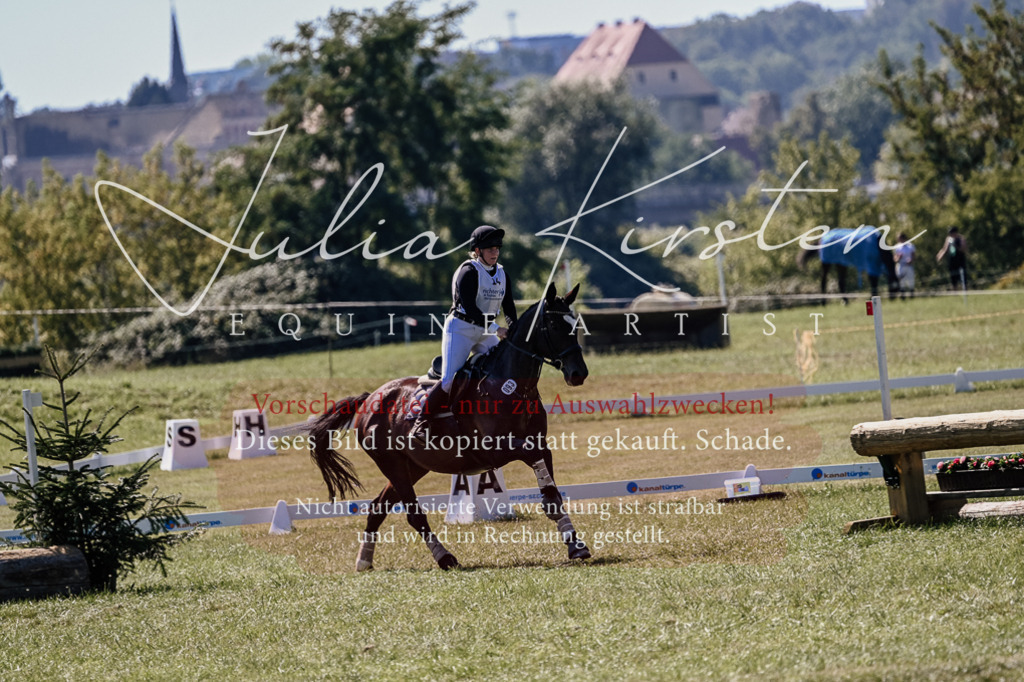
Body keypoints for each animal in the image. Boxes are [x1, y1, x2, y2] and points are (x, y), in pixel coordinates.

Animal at [307, 283, 591, 571]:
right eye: (554, 325)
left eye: (575, 323)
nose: (579, 374)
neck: (511, 387)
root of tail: (369, 399)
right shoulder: (496, 449)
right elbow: (535, 465)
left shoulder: (540, 444)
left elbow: (551, 489)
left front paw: (576, 546)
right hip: (393, 465)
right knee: (414, 515)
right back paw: (444, 557)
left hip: (413, 467)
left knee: (377, 509)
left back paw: (364, 561)